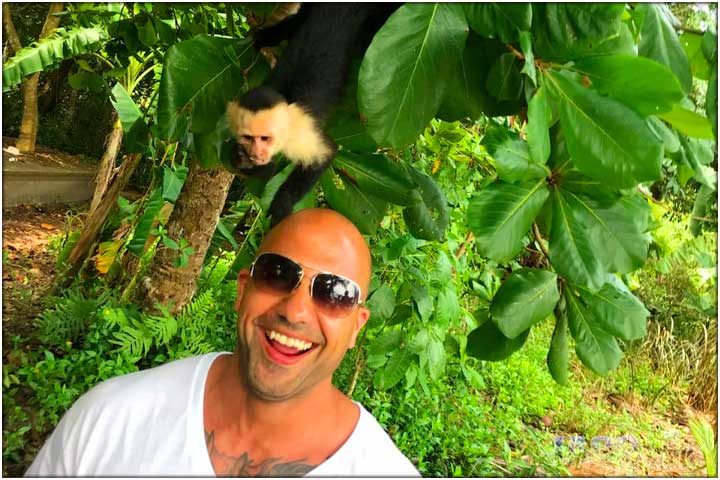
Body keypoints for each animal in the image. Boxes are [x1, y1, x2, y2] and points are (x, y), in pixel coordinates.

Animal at [226, 2, 400, 224]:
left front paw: (281, 204)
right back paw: (264, 37)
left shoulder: (299, 133)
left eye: (265, 138)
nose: (256, 153)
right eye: (248, 138)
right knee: (299, 19)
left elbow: (327, 152)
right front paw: (240, 159)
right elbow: (268, 171)